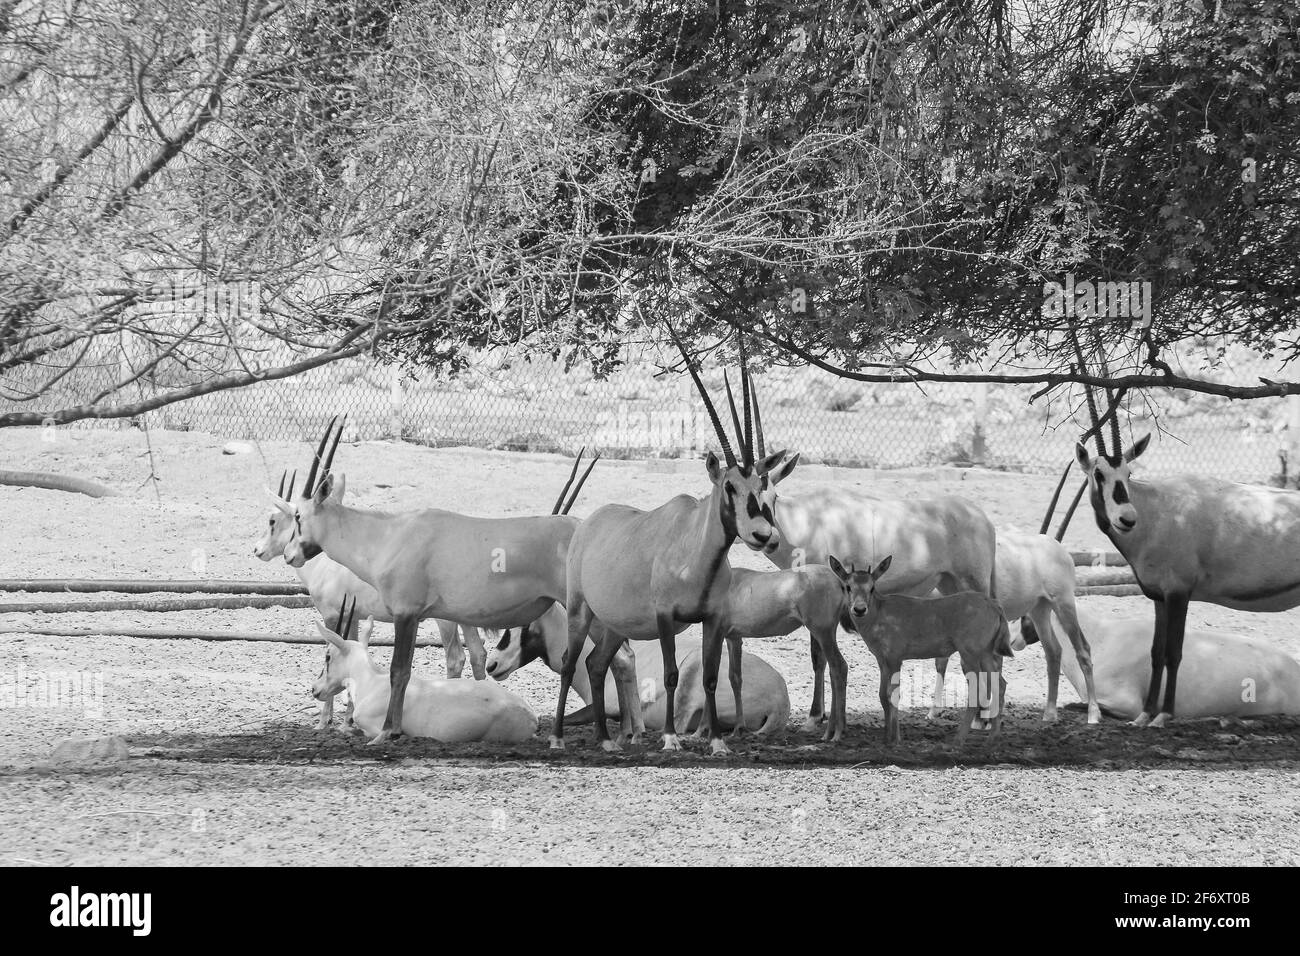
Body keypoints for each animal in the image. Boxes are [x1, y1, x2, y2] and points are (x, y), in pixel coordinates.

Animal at [832, 554, 1013, 749]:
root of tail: (997, 608)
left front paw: (895, 739)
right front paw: (885, 737)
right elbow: (882, 695)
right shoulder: (881, 657)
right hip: (985, 650)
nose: (859, 609)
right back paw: (993, 737)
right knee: (1000, 683)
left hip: (970, 649)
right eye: (847, 586)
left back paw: (958, 740)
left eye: (872, 587)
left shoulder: (895, 654)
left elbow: (893, 694)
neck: (878, 620)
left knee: (977, 689)